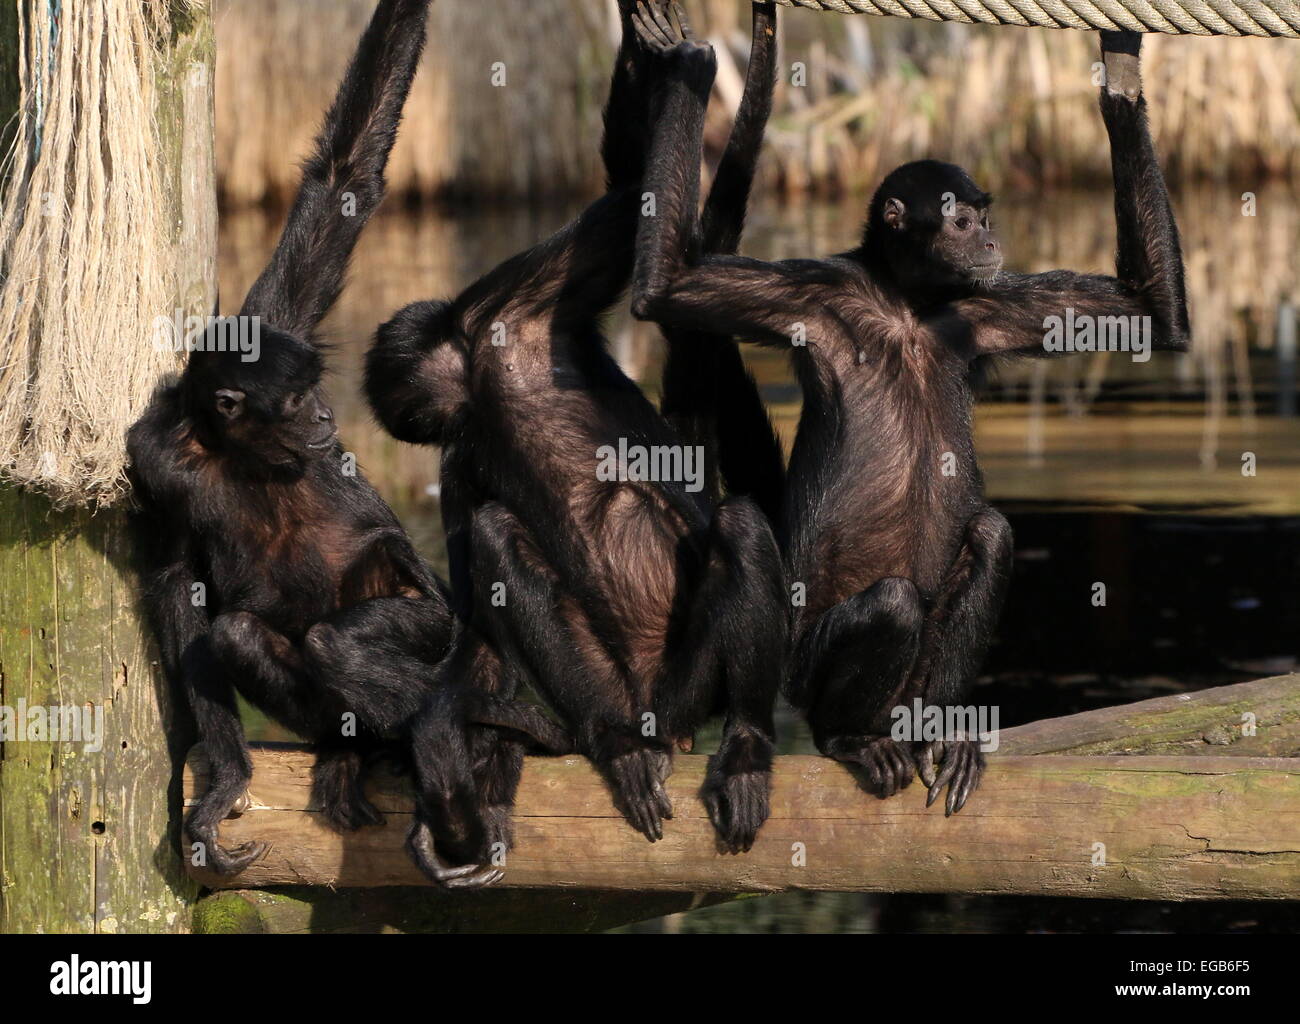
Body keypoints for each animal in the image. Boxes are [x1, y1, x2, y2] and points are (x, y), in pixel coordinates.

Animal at [128, 0, 564, 878]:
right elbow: (177, 585)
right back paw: (361, 747)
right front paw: (226, 775)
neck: (237, 453)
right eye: (295, 402)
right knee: (242, 635)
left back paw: (491, 726)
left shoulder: (280, 321)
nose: (325, 420)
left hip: (437, 630)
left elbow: (343, 177)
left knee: (339, 636)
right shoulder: (156, 461)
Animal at [371, 0, 785, 883]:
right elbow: (474, 606)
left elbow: (628, 207)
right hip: (612, 682)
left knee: (737, 526)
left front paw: (681, 67)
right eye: (429, 426)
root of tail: (655, 709)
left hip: (688, 682)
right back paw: (613, 742)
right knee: (498, 533)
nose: (439, 423)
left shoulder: (514, 297)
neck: (487, 380)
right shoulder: (463, 463)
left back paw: (745, 746)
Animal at [634, 27, 1190, 816]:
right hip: (805, 667)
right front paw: (695, 63)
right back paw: (850, 737)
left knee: (990, 536)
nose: (989, 240)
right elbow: (666, 292)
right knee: (894, 604)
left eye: (984, 217)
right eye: (961, 218)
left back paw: (938, 732)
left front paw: (1121, 70)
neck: (909, 304)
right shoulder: (806, 290)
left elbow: (1150, 314)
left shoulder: (992, 303)